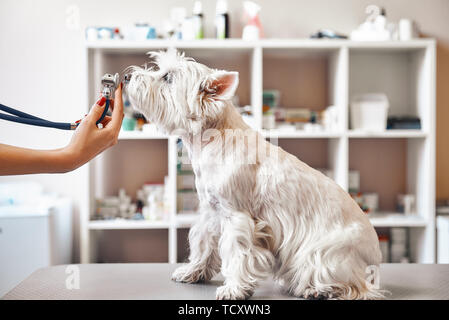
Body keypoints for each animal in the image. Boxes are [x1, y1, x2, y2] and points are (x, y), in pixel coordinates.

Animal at [127, 48, 384, 298]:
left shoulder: (237, 215)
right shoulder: (211, 211)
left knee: (356, 286)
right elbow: (204, 244)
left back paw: (317, 289)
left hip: (325, 253)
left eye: (167, 78)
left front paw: (233, 289)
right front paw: (193, 271)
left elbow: (237, 253)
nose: (128, 76)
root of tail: (375, 257)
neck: (213, 139)